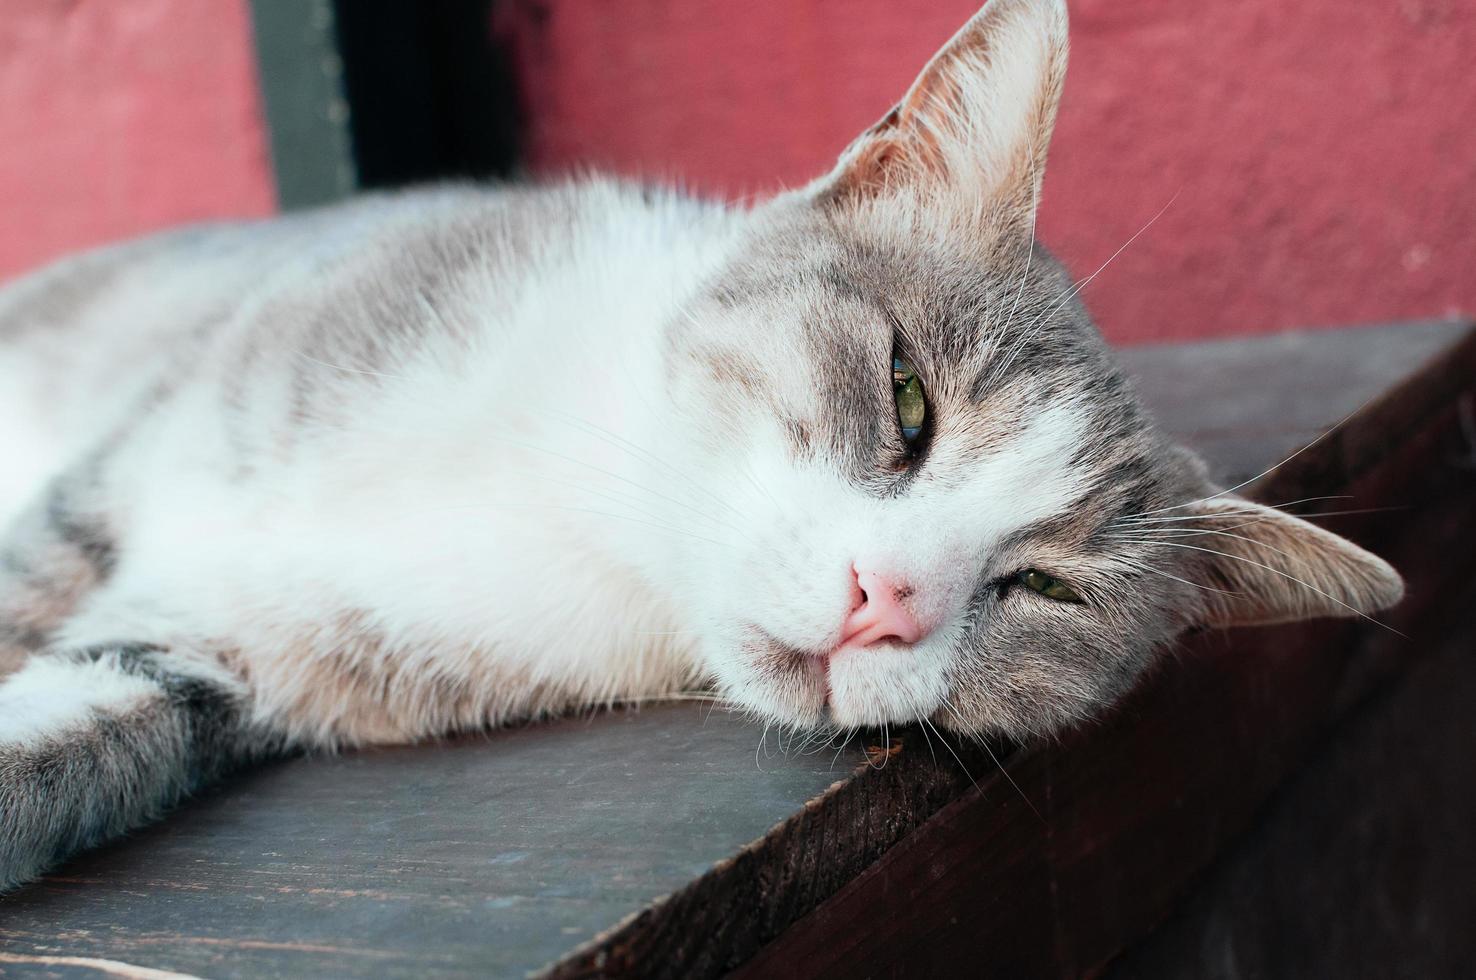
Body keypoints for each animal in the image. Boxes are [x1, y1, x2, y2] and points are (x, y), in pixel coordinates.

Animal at [0, 0, 1405, 885]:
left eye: (1047, 588)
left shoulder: (223, 651)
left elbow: (82, 731)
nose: (886, 598)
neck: (592, 505)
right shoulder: (127, 468)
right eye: (909, 399)